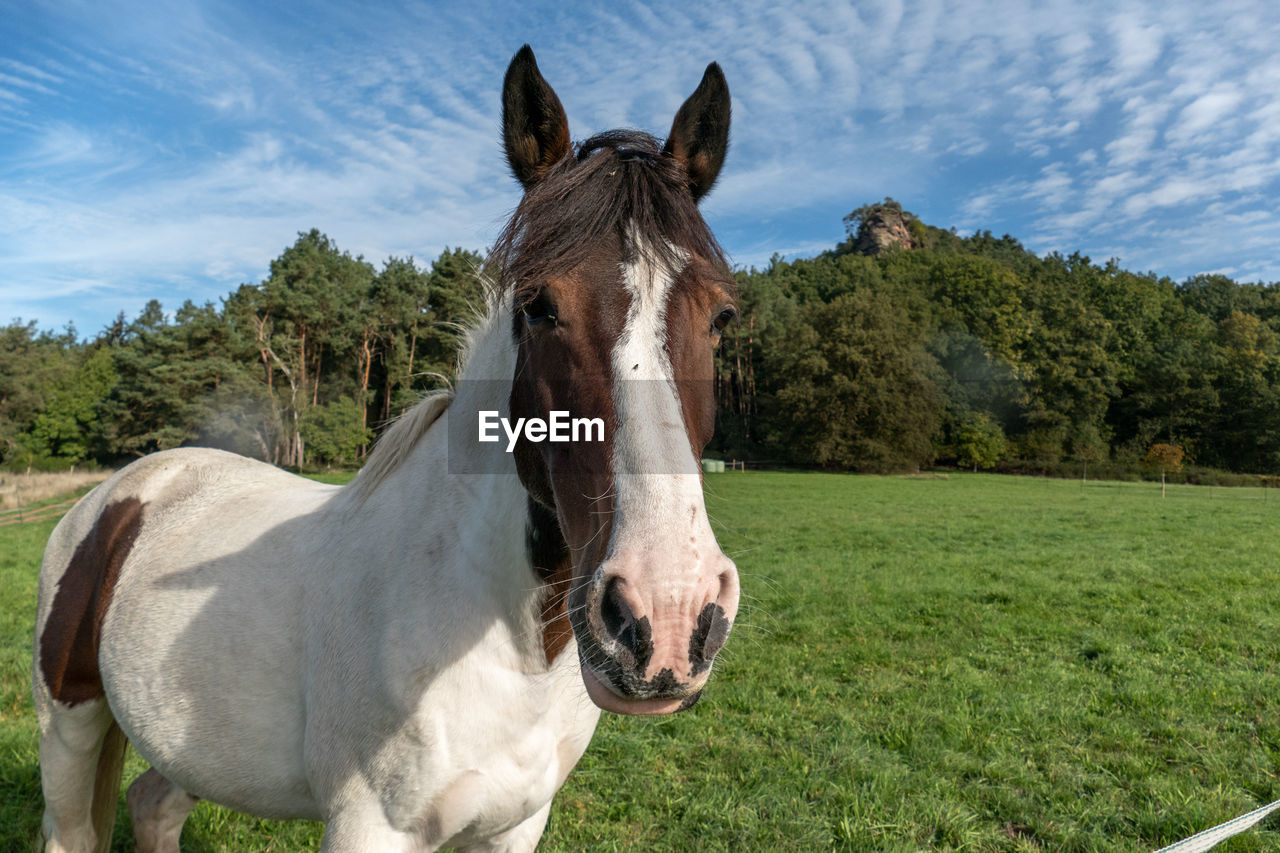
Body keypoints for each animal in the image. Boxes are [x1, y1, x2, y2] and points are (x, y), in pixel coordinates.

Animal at [30, 44, 742, 850]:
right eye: (538, 306)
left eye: (721, 317)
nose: (670, 612)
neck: (507, 647)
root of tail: (119, 495)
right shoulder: (370, 826)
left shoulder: (518, 825)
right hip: (68, 723)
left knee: (152, 804)